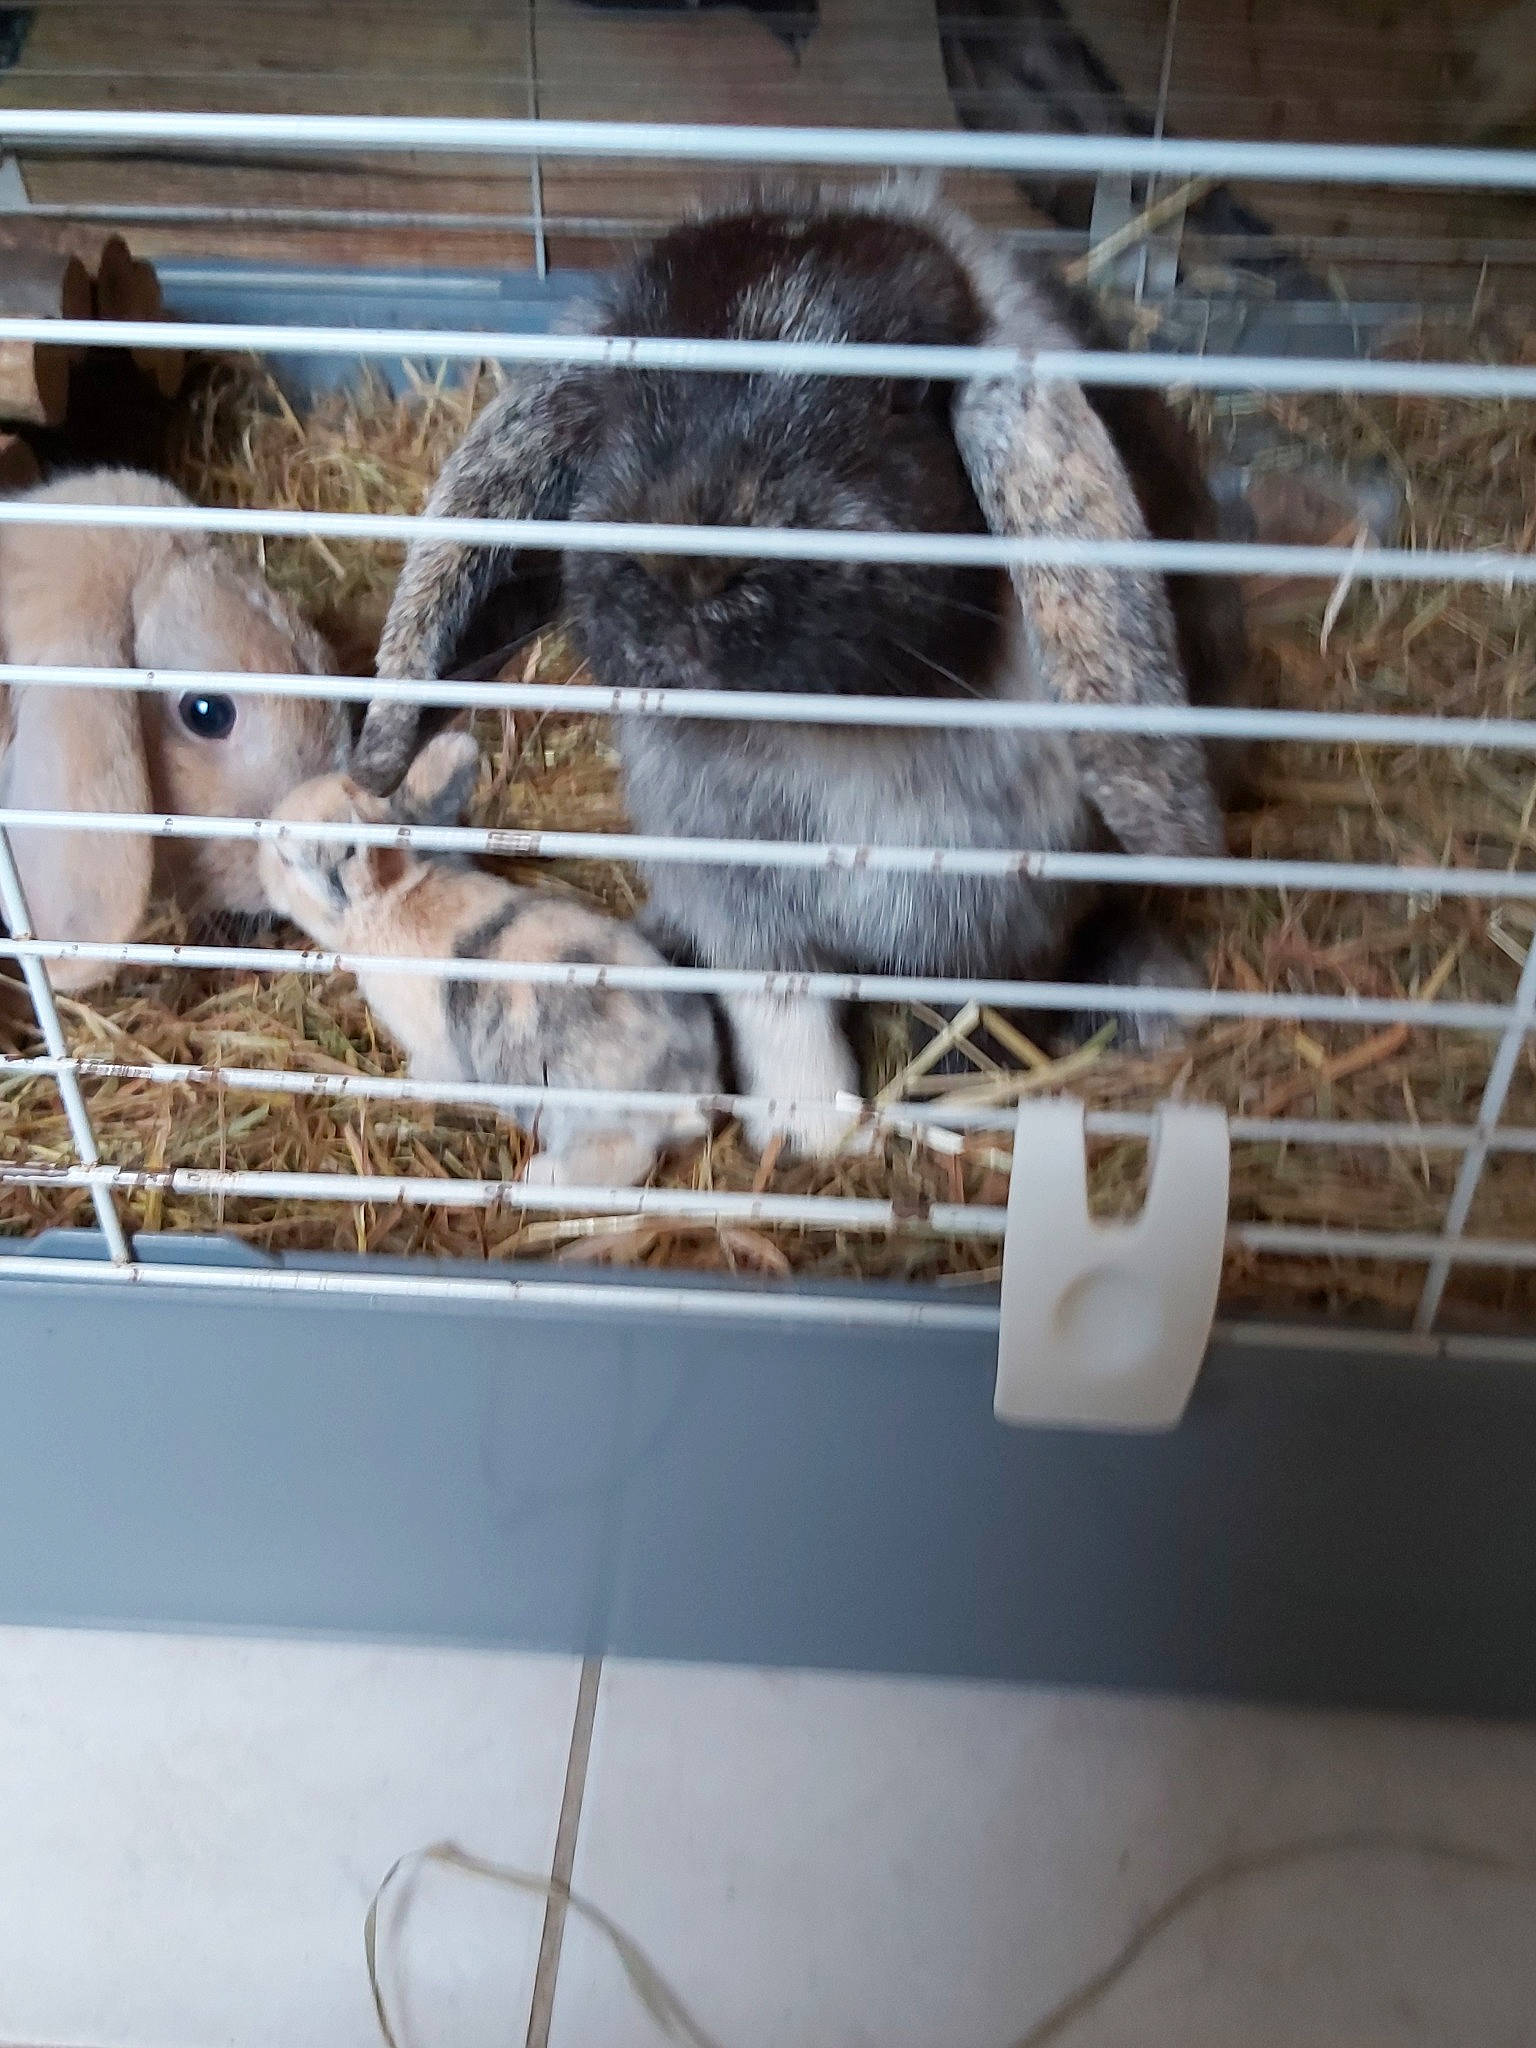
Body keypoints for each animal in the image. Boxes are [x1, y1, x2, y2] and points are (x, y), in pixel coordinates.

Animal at [259, 730, 723, 1188]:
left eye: (285, 859)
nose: (260, 869)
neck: (395, 900)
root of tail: (689, 1089)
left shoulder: (434, 1048)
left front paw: (412, 1077)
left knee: (622, 1160)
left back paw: (540, 1173)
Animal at [355, 182, 1246, 1158]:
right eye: (622, 388)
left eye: (905, 394)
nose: (687, 566)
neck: (822, 738)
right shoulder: (746, 916)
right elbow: (786, 1022)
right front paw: (808, 1137)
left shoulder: (995, 927)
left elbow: (962, 1028)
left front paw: (949, 1117)